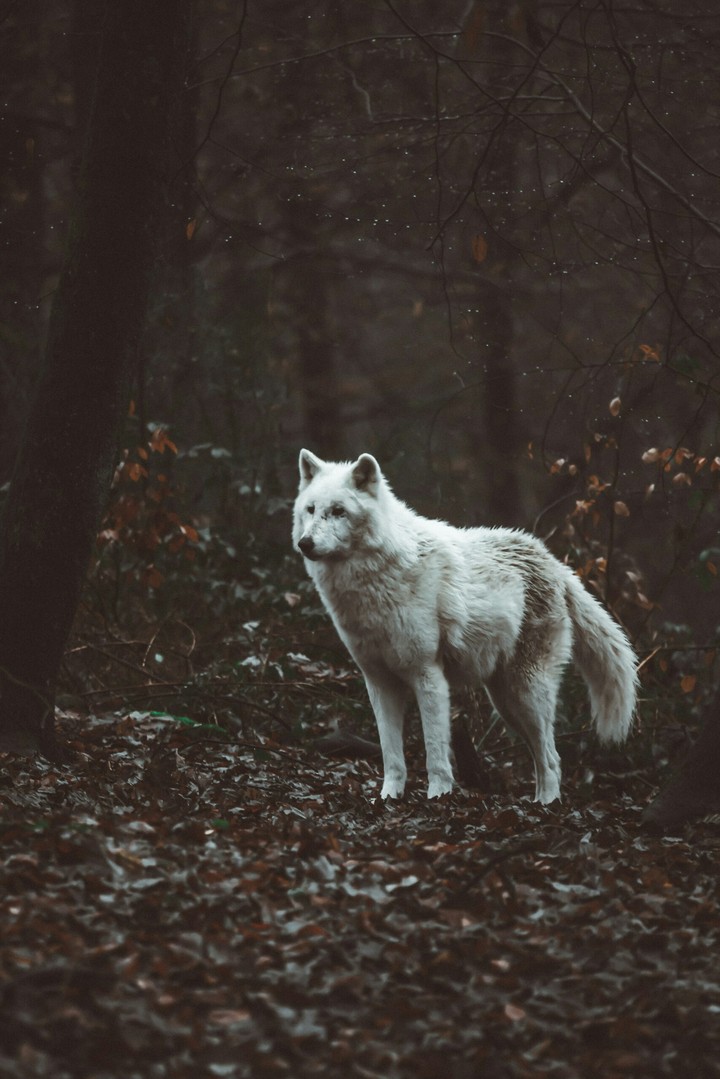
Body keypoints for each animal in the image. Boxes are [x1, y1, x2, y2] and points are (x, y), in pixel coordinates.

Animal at [292, 450, 638, 803]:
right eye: (311, 509)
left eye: (338, 511)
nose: (305, 543)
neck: (374, 582)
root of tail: (556, 564)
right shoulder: (378, 682)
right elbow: (392, 756)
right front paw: (388, 798)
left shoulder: (428, 675)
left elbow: (435, 752)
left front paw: (438, 797)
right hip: (506, 701)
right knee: (540, 757)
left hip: (527, 692)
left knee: (552, 759)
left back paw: (546, 807)